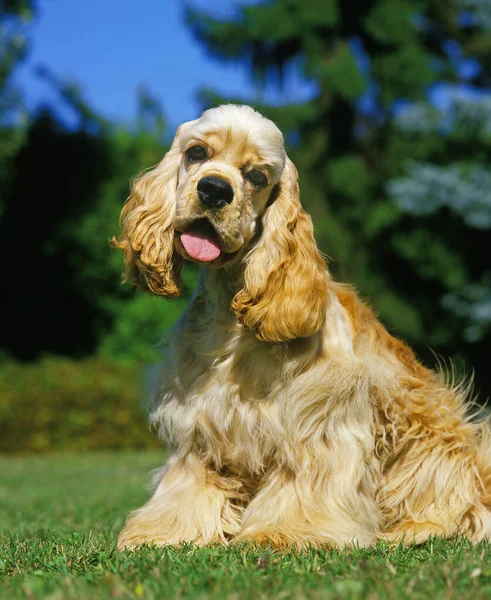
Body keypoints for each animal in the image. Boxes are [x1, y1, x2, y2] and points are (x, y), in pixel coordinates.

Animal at [113, 103, 491, 548]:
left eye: (257, 177)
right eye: (196, 153)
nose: (214, 190)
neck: (230, 317)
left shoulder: (319, 420)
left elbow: (304, 482)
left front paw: (282, 533)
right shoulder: (199, 425)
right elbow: (189, 483)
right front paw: (164, 533)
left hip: (429, 437)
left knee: (458, 509)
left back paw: (408, 530)